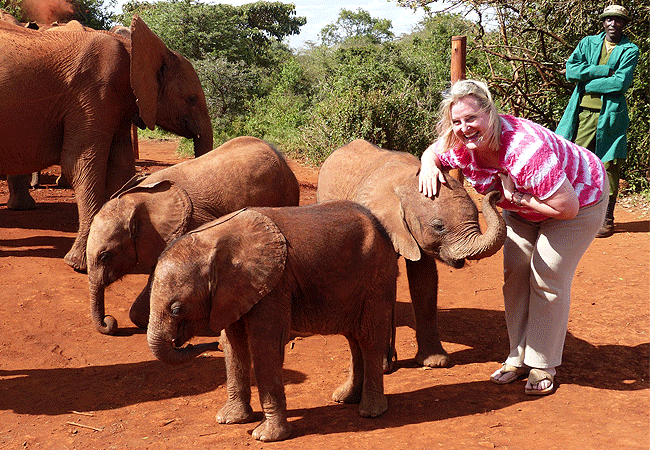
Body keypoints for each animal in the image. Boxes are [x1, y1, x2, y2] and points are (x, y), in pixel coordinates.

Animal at [0, 15, 213, 272]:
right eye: (191, 99)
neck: (135, 48)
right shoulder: (93, 93)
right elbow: (82, 165)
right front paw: (80, 265)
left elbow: (120, 167)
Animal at [147, 201, 398, 442]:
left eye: (177, 309)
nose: (202, 345)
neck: (210, 241)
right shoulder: (231, 292)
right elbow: (234, 345)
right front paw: (229, 420)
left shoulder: (273, 284)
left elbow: (264, 346)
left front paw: (265, 436)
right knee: (354, 339)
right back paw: (344, 398)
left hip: (377, 278)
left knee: (369, 338)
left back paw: (371, 412)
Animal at [316, 139, 506, 368]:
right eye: (439, 226)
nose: (497, 193)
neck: (406, 182)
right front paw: (383, 366)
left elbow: (424, 280)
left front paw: (435, 362)